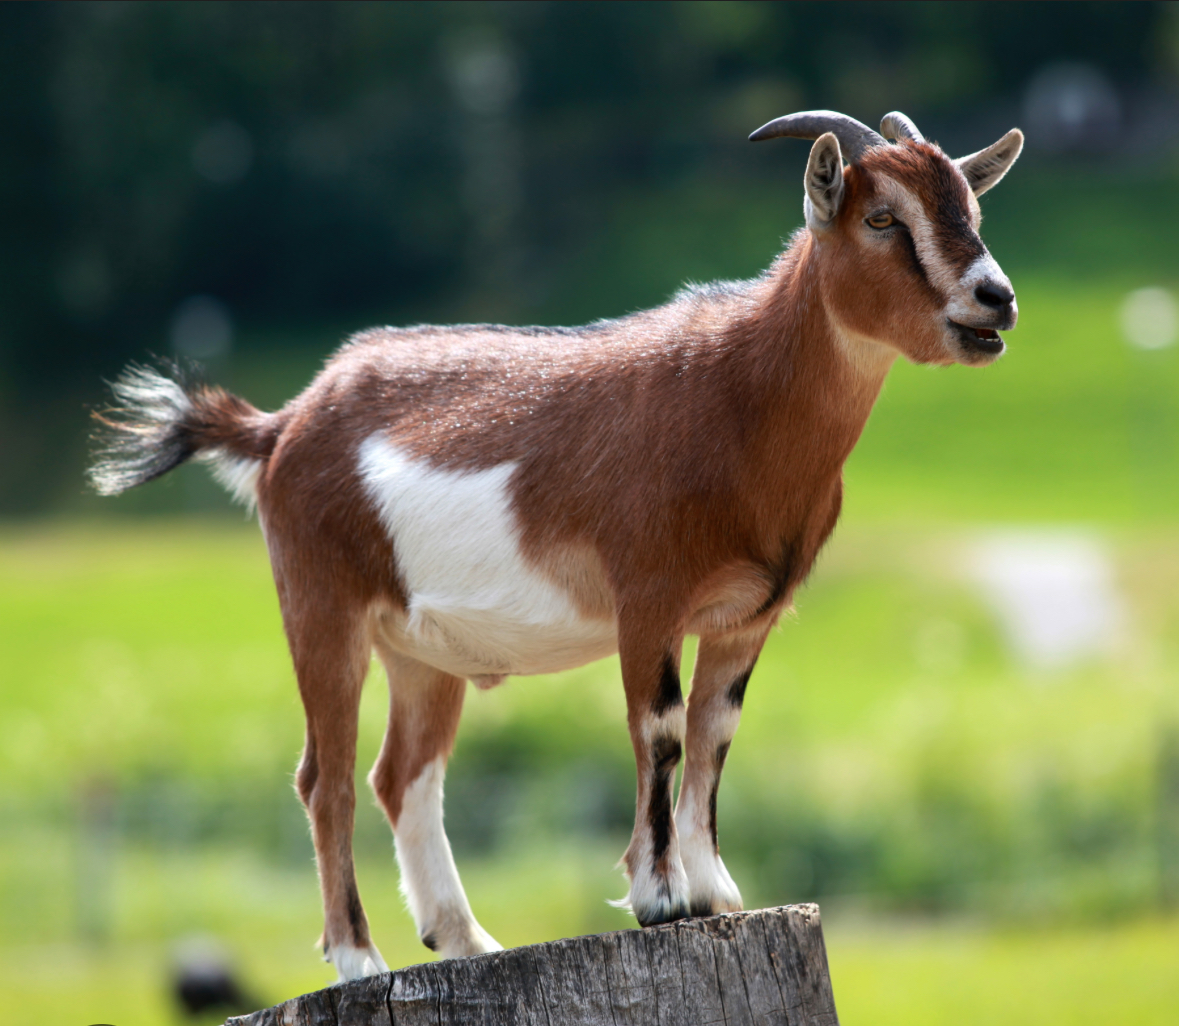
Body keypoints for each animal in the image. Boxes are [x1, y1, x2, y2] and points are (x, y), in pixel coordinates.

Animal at [90, 109, 1023, 981]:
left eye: (971, 207)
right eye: (880, 218)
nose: (995, 298)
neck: (736, 398)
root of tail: (281, 425)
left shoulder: (746, 615)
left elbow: (716, 732)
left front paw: (715, 891)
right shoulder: (647, 597)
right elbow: (660, 729)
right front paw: (659, 898)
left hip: (418, 649)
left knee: (401, 774)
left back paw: (464, 939)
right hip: (321, 604)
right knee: (328, 776)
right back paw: (359, 958)